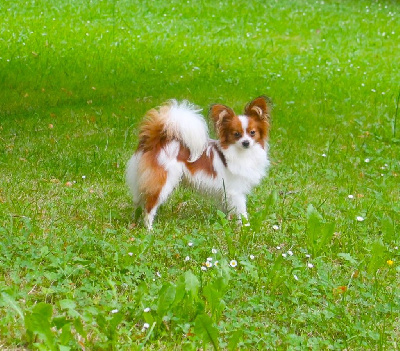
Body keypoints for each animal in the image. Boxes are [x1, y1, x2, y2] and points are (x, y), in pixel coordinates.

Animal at [126, 96, 270, 230]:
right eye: (236, 134)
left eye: (252, 133)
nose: (246, 142)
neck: (242, 153)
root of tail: (155, 141)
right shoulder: (236, 192)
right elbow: (242, 213)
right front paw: (246, 228)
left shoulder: (225, 193)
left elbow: (226, 211)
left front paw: (226, 224)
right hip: (163, 182)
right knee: (149, 207)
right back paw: (149, 229)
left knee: (139, 203)